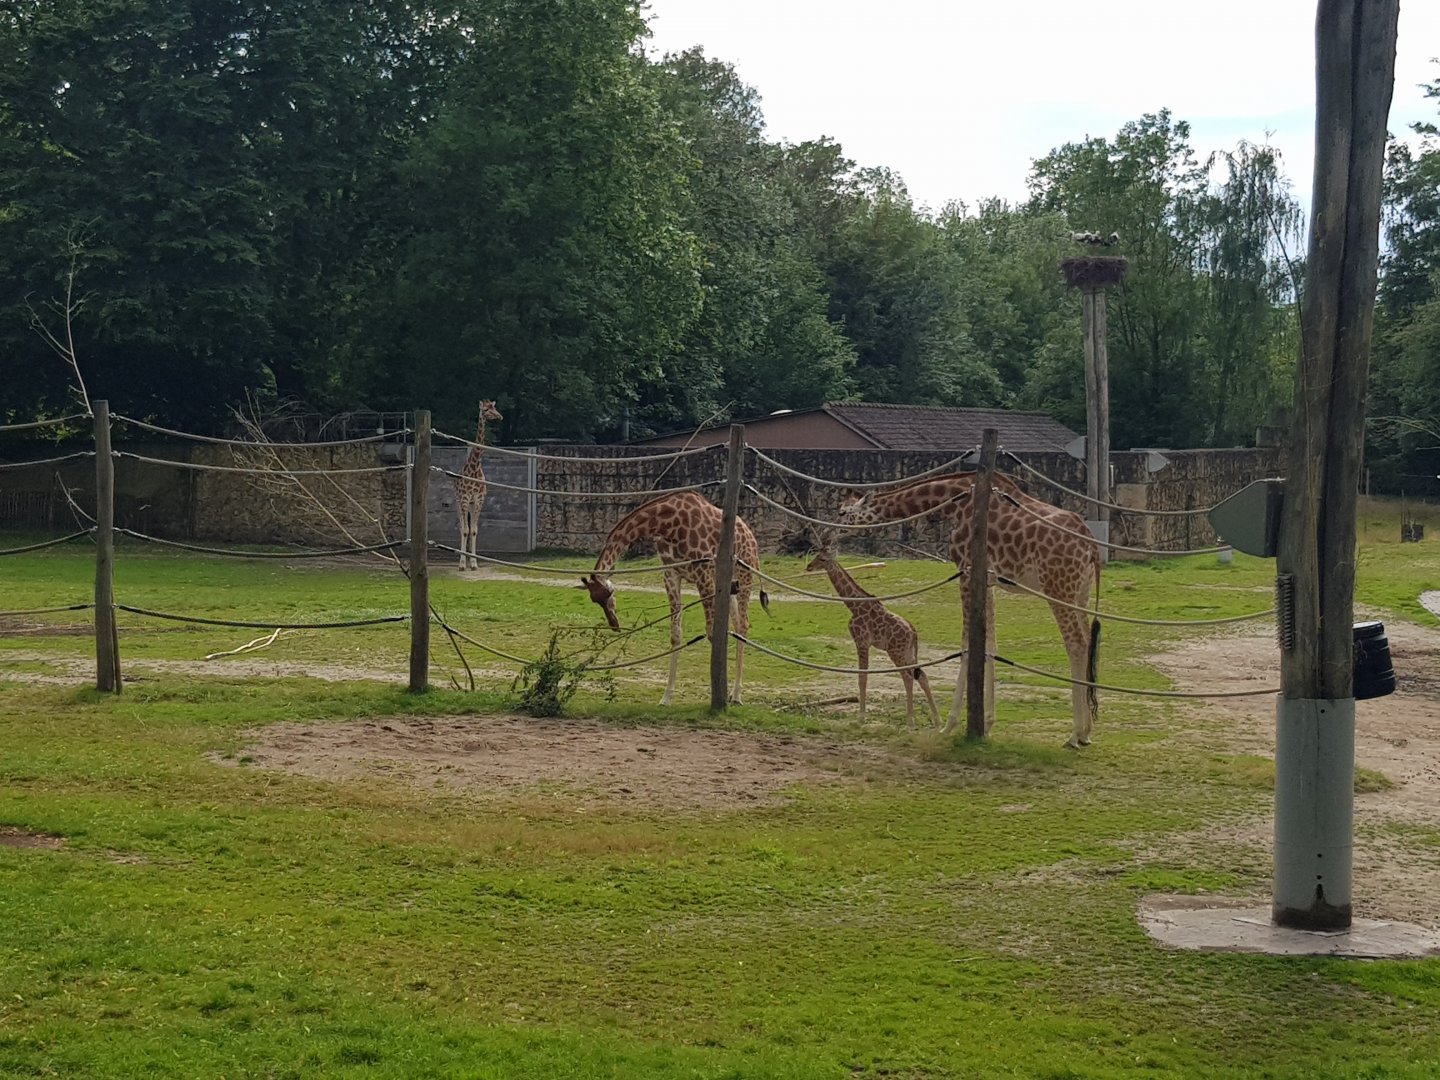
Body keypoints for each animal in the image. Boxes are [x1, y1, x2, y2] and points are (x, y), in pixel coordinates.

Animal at [454, 400, 503, 571]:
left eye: (494, 407)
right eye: (486, 410)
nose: (500, 417)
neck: (474, 468)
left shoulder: (479, 499)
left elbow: (474, 530)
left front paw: (474, 564)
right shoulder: (464, 498)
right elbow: (465, 530)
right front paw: (462, 564)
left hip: (470, 504)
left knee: (468, 528)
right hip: (459, 502)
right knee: (462, 527)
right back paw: (462, 561)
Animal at [578, 492, 769, 705]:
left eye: (609, 594)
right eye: (595, 600)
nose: (614, 624)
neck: (667, 523)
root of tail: (751, 537)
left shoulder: (703, 571)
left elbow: (711, 632)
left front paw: (718, 696)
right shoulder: (671, 573)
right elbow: (675, 635)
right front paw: (666, 697)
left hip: (745, 574)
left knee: (743, 625)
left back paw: (735, 695)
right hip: (730, 585)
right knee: (736, 624)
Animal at [805, 535, 940, 729]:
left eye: (822, 559)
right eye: (816, 555)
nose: (809, 567)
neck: (853, 605)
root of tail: (913, 632)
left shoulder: (861, 642)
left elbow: (862, 677)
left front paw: (861, 718)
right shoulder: (864, 644)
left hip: (896, 651)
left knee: (907, 677)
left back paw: (910, 721)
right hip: (909, 652)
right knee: (921, 676)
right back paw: (937, 720)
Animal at [839, 471, 1102, 748]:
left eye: (842, 512)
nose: (830, 532)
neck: (953, 502)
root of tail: (1092, 546)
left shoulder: (965, 571)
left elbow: (966, 645)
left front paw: (949, 725)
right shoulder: (989, 580)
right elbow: (990, 645)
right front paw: (987, 724)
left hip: (1057, 588)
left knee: (1076, 643)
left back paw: (1074, 734)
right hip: (1079, 592)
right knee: (1088, 641)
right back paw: (1086, 731)